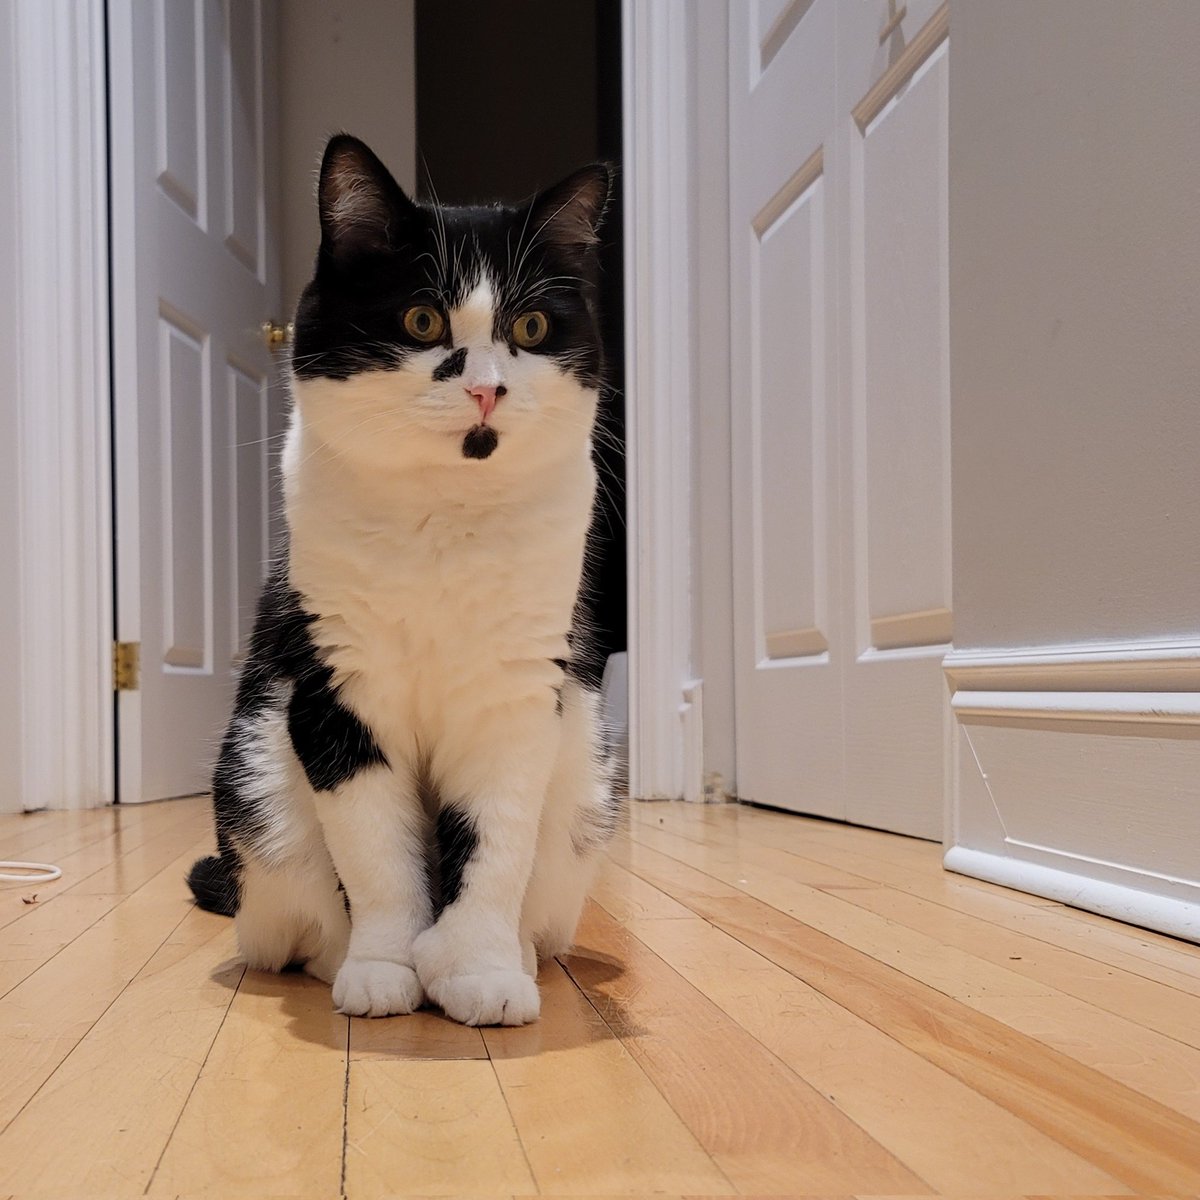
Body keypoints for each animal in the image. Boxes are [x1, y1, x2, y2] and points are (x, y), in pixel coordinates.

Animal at [184, 136, 628, 1027]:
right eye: (422, 320)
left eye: (530, 327)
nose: (486, 387)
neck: (443, 518)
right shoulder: (337, 691)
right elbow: (377, 855)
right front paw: (385, 968)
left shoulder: (517, 695)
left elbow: (493, 843)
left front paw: (481, 971)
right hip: (259, 774)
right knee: (289, 922)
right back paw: (335, 957)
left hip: (588, 775)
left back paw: (521, 956)